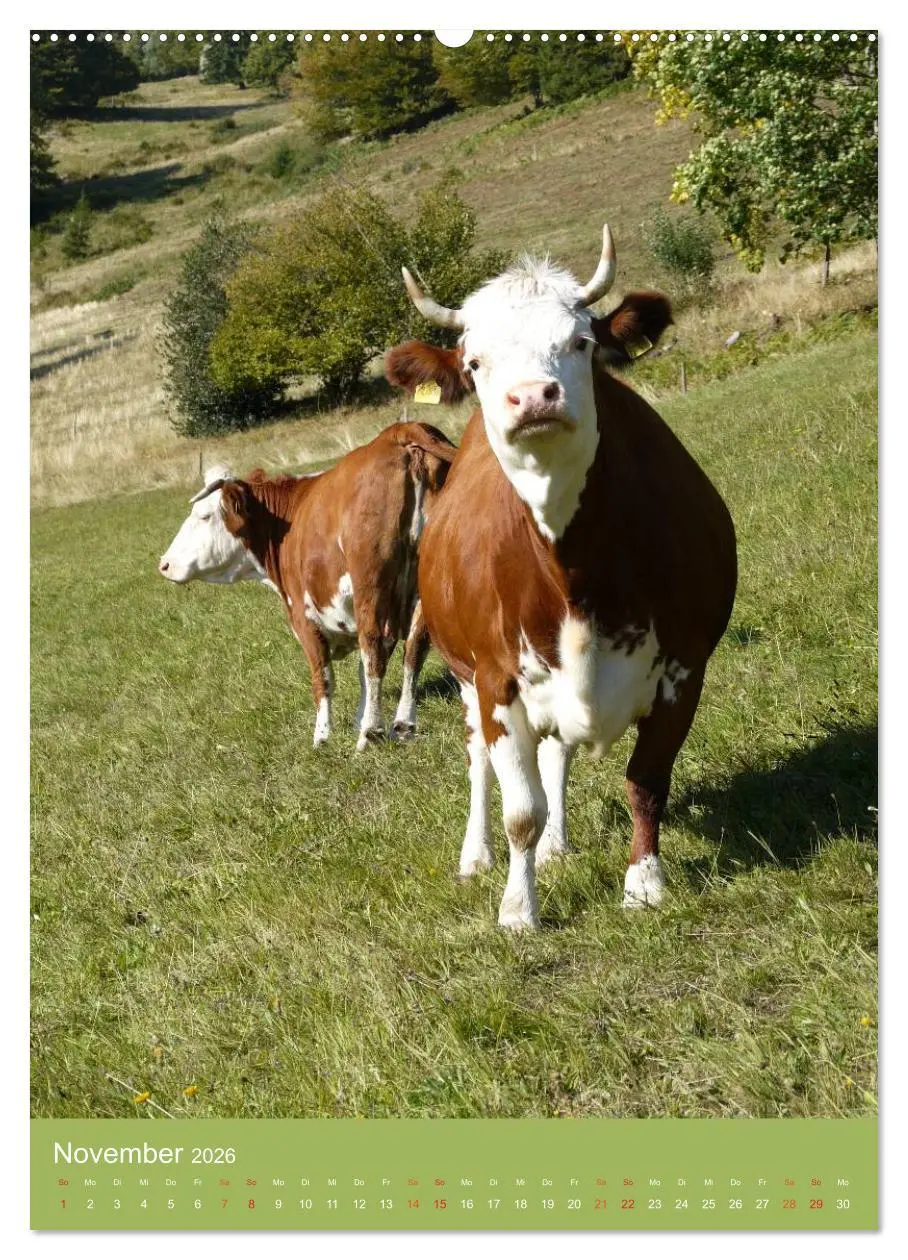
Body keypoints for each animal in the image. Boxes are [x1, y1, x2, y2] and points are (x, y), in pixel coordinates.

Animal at [158, 422, 456, 750]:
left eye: (204, 516)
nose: (164, 563)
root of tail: (399, 431)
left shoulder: (304, 617)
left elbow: (323, 676)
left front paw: (323, 736)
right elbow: (363, 674)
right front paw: (358, 719)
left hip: (371, 586)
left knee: (374, 647)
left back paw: (369, 735)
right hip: (423, 590)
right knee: (414, 650)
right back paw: (402, 726)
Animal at [385, 226, 737, 930]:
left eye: (581, 342)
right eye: (475, 362)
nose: (533, 397)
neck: (573, 569)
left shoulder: (685, 668)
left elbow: (645, 781)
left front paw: (643, 883)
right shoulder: (495, 681)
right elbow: (519, 808)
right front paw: (519, 907)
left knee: (555, 754)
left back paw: (556, 845)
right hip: (466, 677)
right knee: (480, 763)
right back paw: (477, 855)